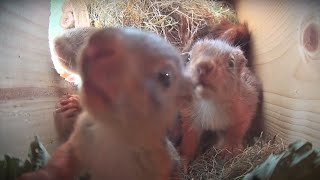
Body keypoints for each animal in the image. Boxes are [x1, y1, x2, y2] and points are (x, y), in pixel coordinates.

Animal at [176, 21, 262, 172]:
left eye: (231, 63)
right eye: (188, 58)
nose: (203, 66)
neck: (209, 102)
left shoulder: (247, 105)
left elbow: (237, 129)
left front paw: (230, 149)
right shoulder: (189, 117)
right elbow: (189, 140)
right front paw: (183, 159)